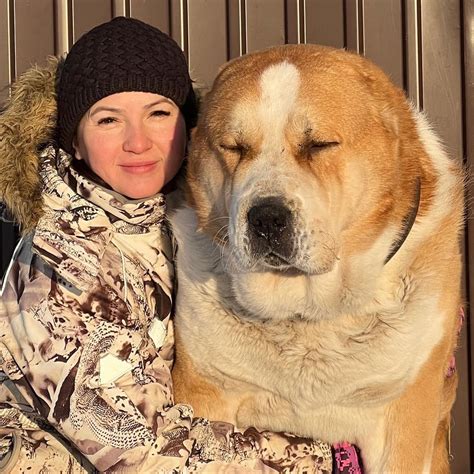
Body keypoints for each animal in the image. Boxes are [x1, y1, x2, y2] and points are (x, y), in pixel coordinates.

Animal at [170, 42, 462, 472]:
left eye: (319, 145)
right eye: (233, 148)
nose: (267, 217)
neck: (306, 314)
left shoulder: (405, 417)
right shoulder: (206, 391)